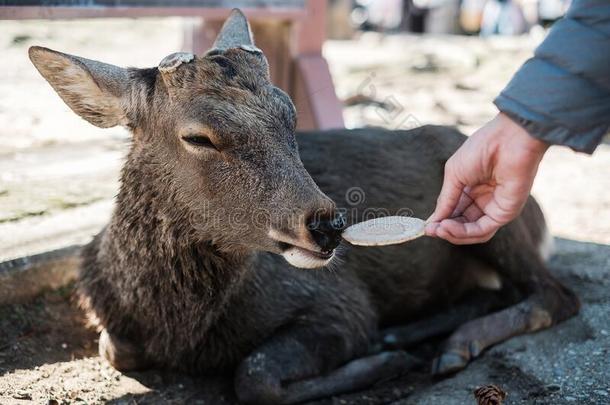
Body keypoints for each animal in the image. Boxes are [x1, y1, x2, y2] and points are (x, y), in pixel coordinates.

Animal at [28, 10, 576, 404]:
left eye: (290, 113)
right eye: (198, 136)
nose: (328, 225)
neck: (179, 327)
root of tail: (541, 215)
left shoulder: (338, 302)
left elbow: (254, 377)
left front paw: (383, 362)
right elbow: (115, 348)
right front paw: (388, 352)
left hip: (494, 213)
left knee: (555, 294)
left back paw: (447, 344)